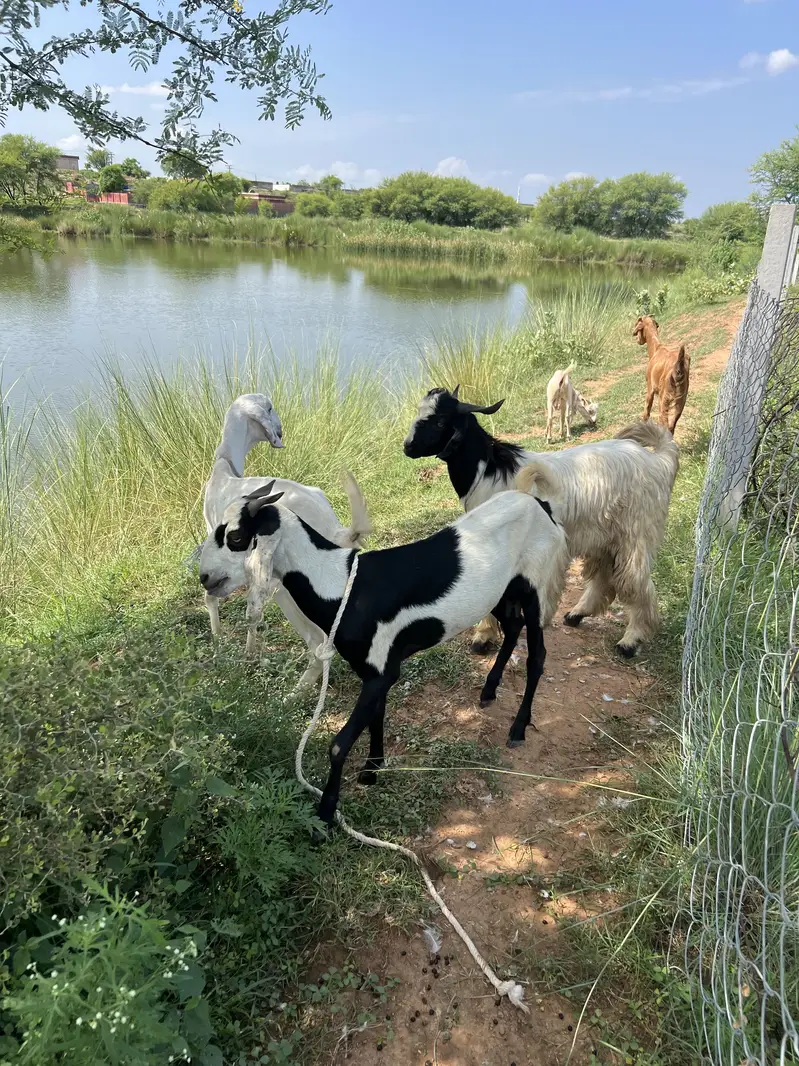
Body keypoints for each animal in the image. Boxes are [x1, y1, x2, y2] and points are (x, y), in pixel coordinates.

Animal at [201, 394, 372, 685]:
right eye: (269, 407)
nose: (281, 431)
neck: (225, 470)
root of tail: (332, 526)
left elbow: (235, 606)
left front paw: (226, 646)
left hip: (288, 591)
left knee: (319, 641)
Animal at [207, 466, 569, 827]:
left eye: (235, 537)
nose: (206, 578)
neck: (342, 583)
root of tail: (538, 504)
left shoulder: (382, 671)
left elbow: (339, 743)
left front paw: (326, 813)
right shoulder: (373, 669)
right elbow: (376, 716)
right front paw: (372, 770)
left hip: (534, 586)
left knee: (537, 655)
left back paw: (518, 728)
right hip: (502, 591)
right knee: (513, 627)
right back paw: (489, 690)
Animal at [403, 387, 679, 658]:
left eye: (440, 421)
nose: (407, 447)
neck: (491, 471)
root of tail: (659, 461)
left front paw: (483, 636)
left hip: (635, 534)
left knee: (633, 581)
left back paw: (631, 640)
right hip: (605, 536)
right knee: (603, 576)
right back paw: (577, 614)